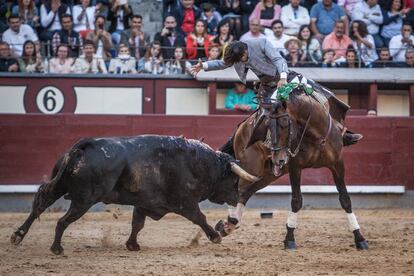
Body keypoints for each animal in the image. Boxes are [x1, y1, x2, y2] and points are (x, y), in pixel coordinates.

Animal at [10, 135, 258, 254]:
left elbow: (137, 224)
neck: (200, 164)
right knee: (62, 221)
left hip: (61, 187)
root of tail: (83, 146)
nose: (235, 201)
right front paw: (215, 236)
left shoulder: (145, 203)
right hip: (84, 199)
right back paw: (56, 248)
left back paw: (18, 235)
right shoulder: (184, 203)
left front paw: (132, 245)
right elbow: (200, 218)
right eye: (233, 180)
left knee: (41, 203)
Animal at [217, 77, 368, 250]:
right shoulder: (295, 167)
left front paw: (359, 238)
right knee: (238, 190)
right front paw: (289, 239)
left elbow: (345, 199)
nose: (278, 158)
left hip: (268, 174)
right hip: (251, 168)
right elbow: (296, 201)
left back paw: (229, 225)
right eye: (267, 126)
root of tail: (240, 128)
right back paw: (228, 224)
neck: (315, 134)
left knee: (245, 192)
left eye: (284, 123)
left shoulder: (337, 164)